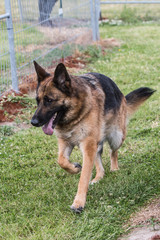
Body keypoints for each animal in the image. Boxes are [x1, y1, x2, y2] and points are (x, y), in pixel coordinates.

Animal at [31, 61, 155, 213]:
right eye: (37, 101)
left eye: (49, 100)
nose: (33, 122)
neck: (75, 116)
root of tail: (119, 92)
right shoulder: (66, 142)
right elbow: (61, 161)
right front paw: (74, 167)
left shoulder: (88, 145)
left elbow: (83, 177)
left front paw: (78, 203)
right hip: (97, 143)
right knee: (99, 162)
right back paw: (98, 177)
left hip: (116, 136)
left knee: (113, 152)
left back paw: (114, 169)